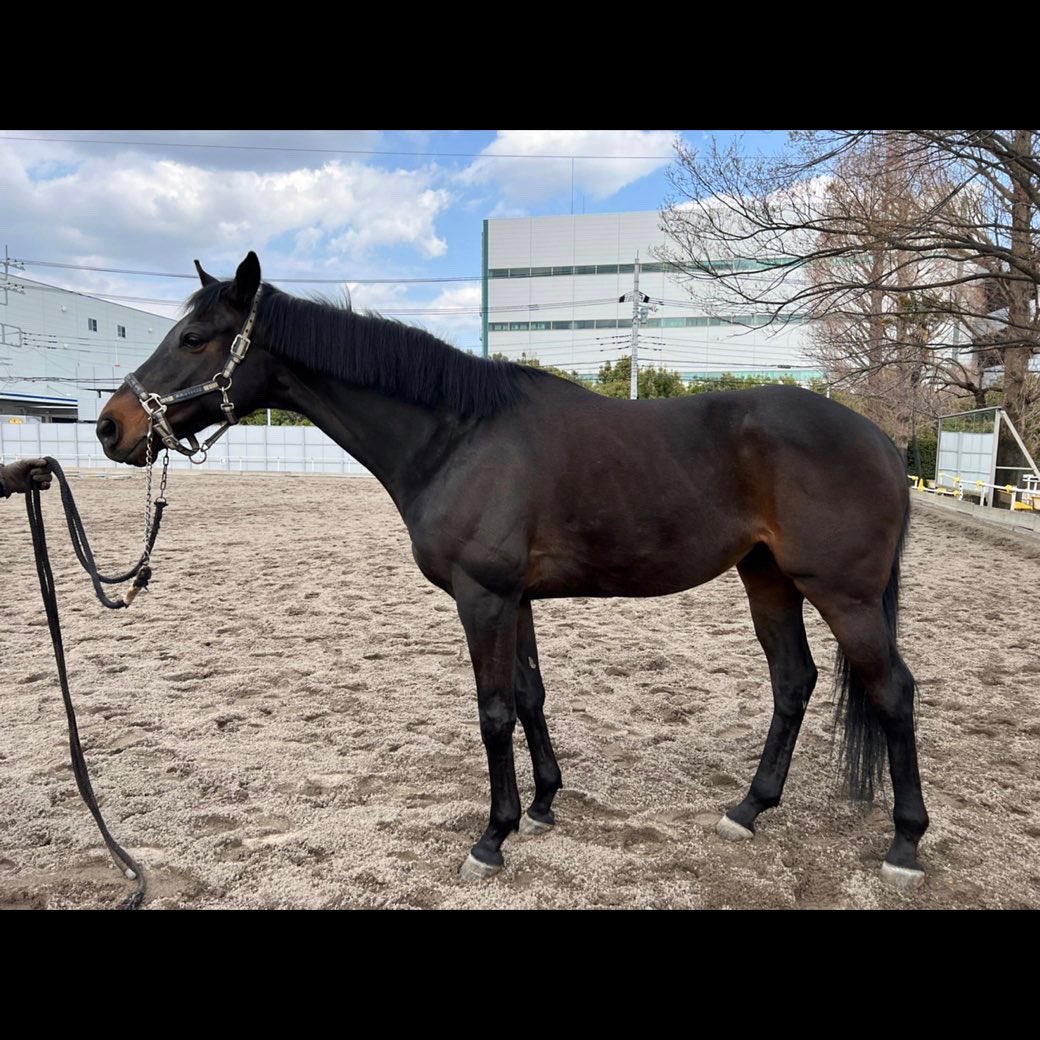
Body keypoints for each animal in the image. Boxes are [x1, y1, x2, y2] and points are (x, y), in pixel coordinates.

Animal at [96, 252, 929, 890]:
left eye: (194, 337)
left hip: (844, 595)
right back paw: (748, 810)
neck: (457, 434)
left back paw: (905, 844)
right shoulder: (516, 599)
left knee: (893, 691)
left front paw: (492, 837)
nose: (111, 426)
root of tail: (883, 442)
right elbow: (530, 696)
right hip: (768, 579)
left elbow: (494, 710)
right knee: (793, 682)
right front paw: (543, 804)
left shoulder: (484, 597)